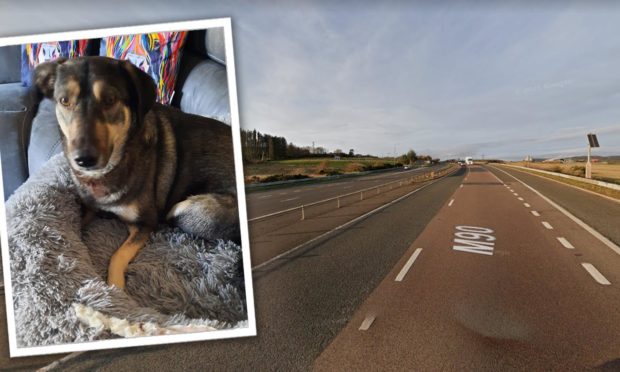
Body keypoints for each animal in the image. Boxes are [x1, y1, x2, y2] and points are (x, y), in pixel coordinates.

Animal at [33, 56, 242, 290]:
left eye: (110, 99)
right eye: (64, 100)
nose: (83, 160)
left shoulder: (145, 224)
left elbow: (117, 255)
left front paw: (115, 290)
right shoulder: (88, 207)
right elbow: (78, 226)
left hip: (188, 208)